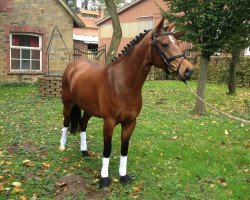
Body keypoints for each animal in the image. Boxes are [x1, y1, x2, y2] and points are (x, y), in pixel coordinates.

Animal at [59, 18, 193, 188]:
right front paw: (104, 179)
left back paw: (84, 151)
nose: (188, 70)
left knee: (83, 125)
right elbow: (107, 149)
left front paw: (123, 176)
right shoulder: (109, 122)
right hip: (68, 105)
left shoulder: (130, 123)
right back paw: (62, 146)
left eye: (177, 42)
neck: (123, 83)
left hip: (88, 109)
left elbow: (124, 149)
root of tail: (73, 66)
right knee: (65, 122)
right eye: (165, 44)